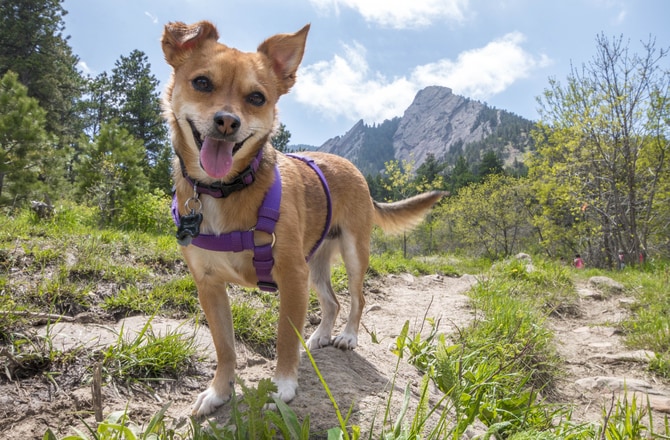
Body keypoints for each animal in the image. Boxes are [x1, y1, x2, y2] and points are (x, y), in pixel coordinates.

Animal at [161, 21, 446, 416]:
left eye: (257, 98)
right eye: (202, 82)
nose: (227, 122)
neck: (225, 188)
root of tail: (351, 167)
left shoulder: (291, 277)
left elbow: (284, 337)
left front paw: (282, 387)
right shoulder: (209, 286)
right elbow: (225, 348)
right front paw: (219, 392)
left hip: (353, 254)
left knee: (356, 299)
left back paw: (347, 336)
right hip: (316, 264)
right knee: (332, 302)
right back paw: (321, 335)